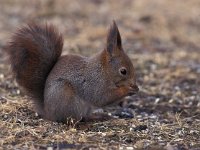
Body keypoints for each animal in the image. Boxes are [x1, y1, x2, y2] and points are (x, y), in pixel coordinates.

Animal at [5, 21, 138, 123]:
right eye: (123, 71)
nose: (135, 85)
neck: (103, 70)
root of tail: (48, 112)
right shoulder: (94, 83)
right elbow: (102, 97)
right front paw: (127, 90)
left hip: (85, 107)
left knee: (85, 117)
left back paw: (97, 116)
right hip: (67, 98)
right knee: (70, 120)